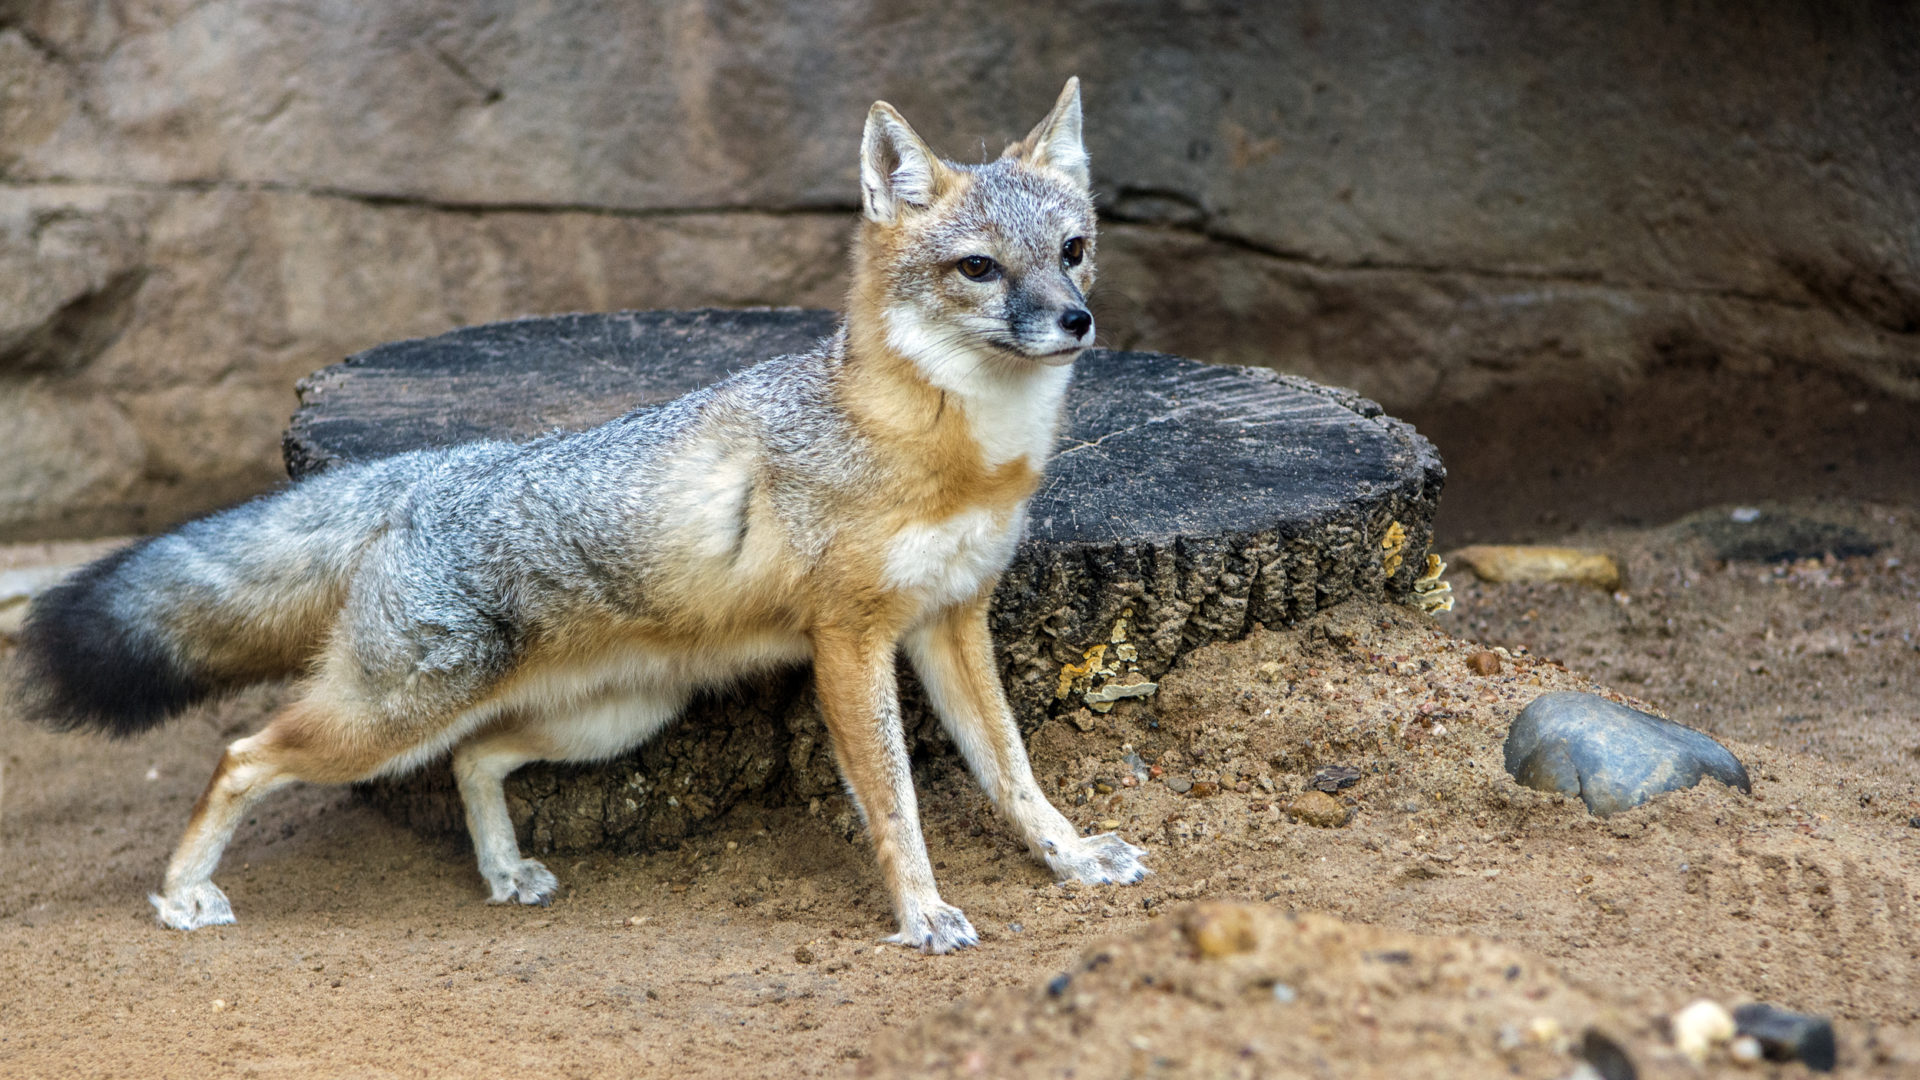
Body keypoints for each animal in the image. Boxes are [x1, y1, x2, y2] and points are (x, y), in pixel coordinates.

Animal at [15, 77, 1144, 949]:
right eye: (979, 268)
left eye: (1074, 248)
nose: (1076, 320)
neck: (956, 450)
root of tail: (438, 467)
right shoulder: (852, 641)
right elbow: (897, 803)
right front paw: (920, 911)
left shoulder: (952, 619)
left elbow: (1011, 768)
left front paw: (1070, 855)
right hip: (391, 719)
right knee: (243, 755)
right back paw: (180, 893)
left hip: (608, 715)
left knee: (474, 758)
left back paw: (502, 872)